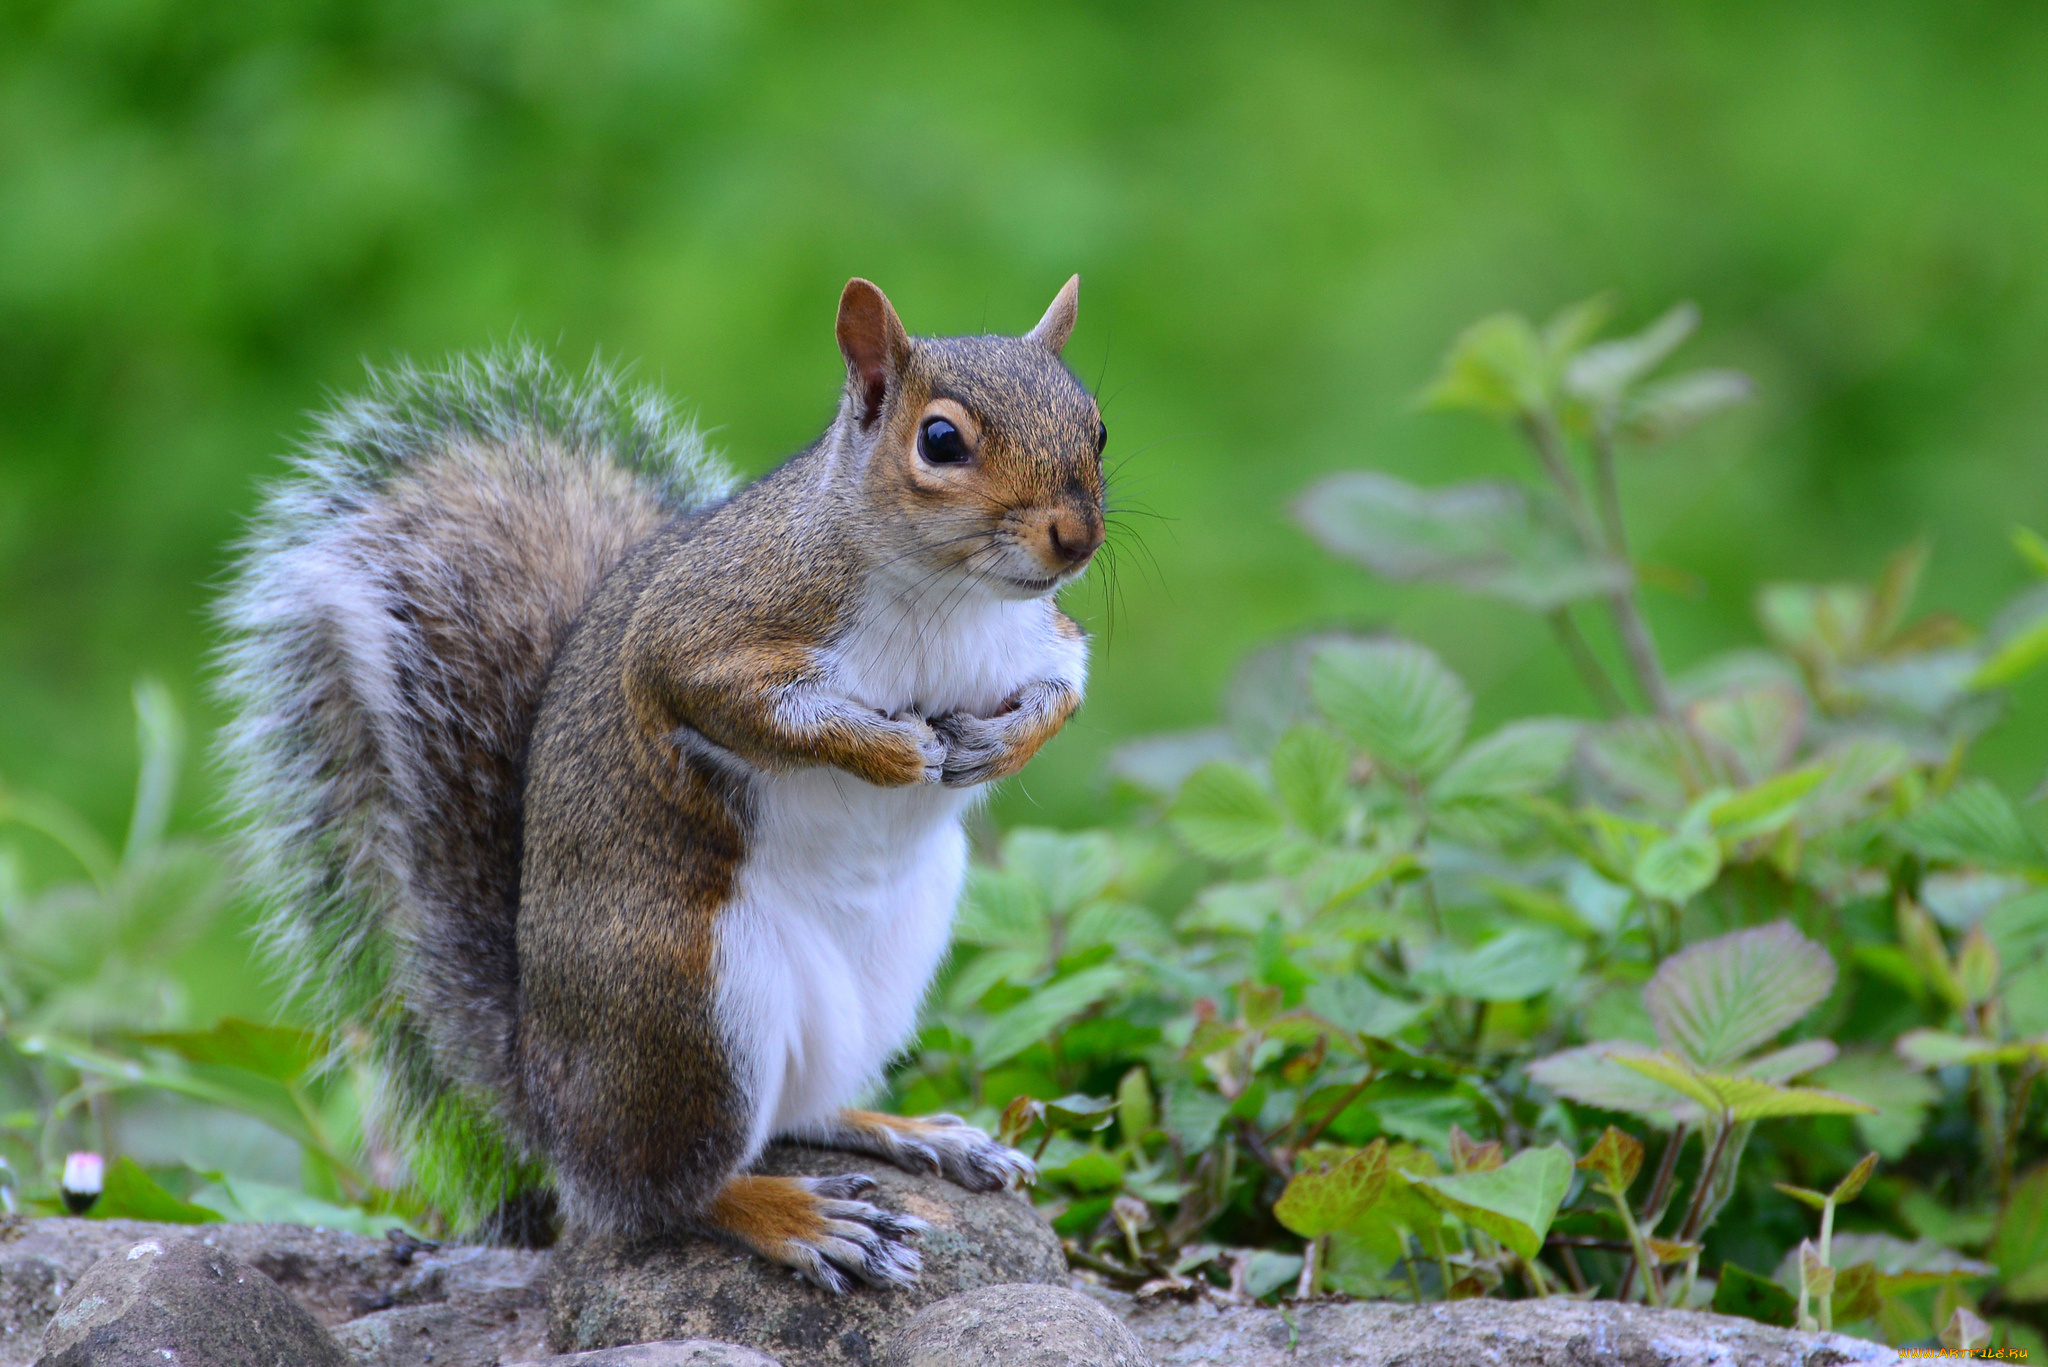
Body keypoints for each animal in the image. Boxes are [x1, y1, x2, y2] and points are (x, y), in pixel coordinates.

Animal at [214, 280, 1105, 1295]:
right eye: (942, 441)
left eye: (1096, 424)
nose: (1077, 537)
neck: (950, 595)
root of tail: (549, 1103)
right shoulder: (703, 633)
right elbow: (739, 702)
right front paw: (890, 752)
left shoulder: (1041, 638)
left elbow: (1065, 687)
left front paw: (998, 744)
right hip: (690, 1001)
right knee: (663, 1192)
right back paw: (797, 1216)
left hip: (884, 970)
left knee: (799, 1111)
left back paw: (914, 1132)